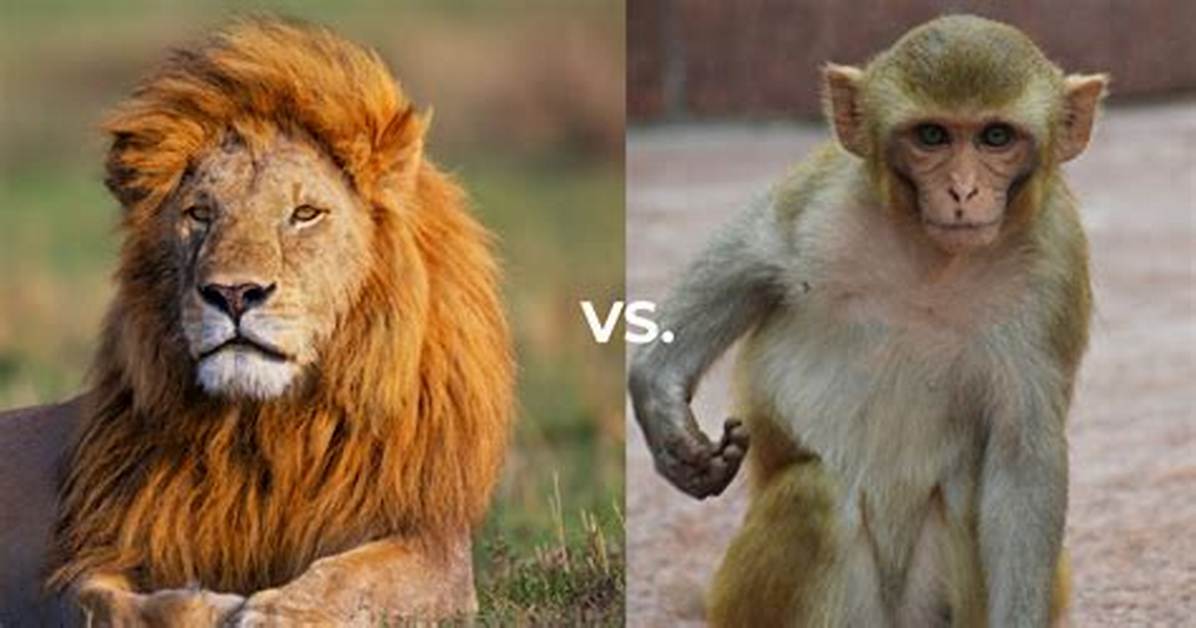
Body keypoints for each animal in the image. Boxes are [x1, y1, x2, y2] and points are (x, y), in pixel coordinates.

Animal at [0, 18, 513, 626]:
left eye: (304, 214)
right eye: (200, 213)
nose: (233, 293)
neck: (265, 426)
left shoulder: (432, 543)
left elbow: (353, 576)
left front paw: (279, 611)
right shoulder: (85, 555)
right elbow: (105, 602)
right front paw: (209, 605)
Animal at [628, 15, 1105, 627]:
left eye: (996, 137)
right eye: (932, 136)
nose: (963, 190)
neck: (933, 259)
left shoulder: (1056, 261)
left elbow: (1023, 457)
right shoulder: (823, 194)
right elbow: (748, 254)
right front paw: (664, 412)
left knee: (969, 495)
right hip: (745, 598)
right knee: (813, 495)